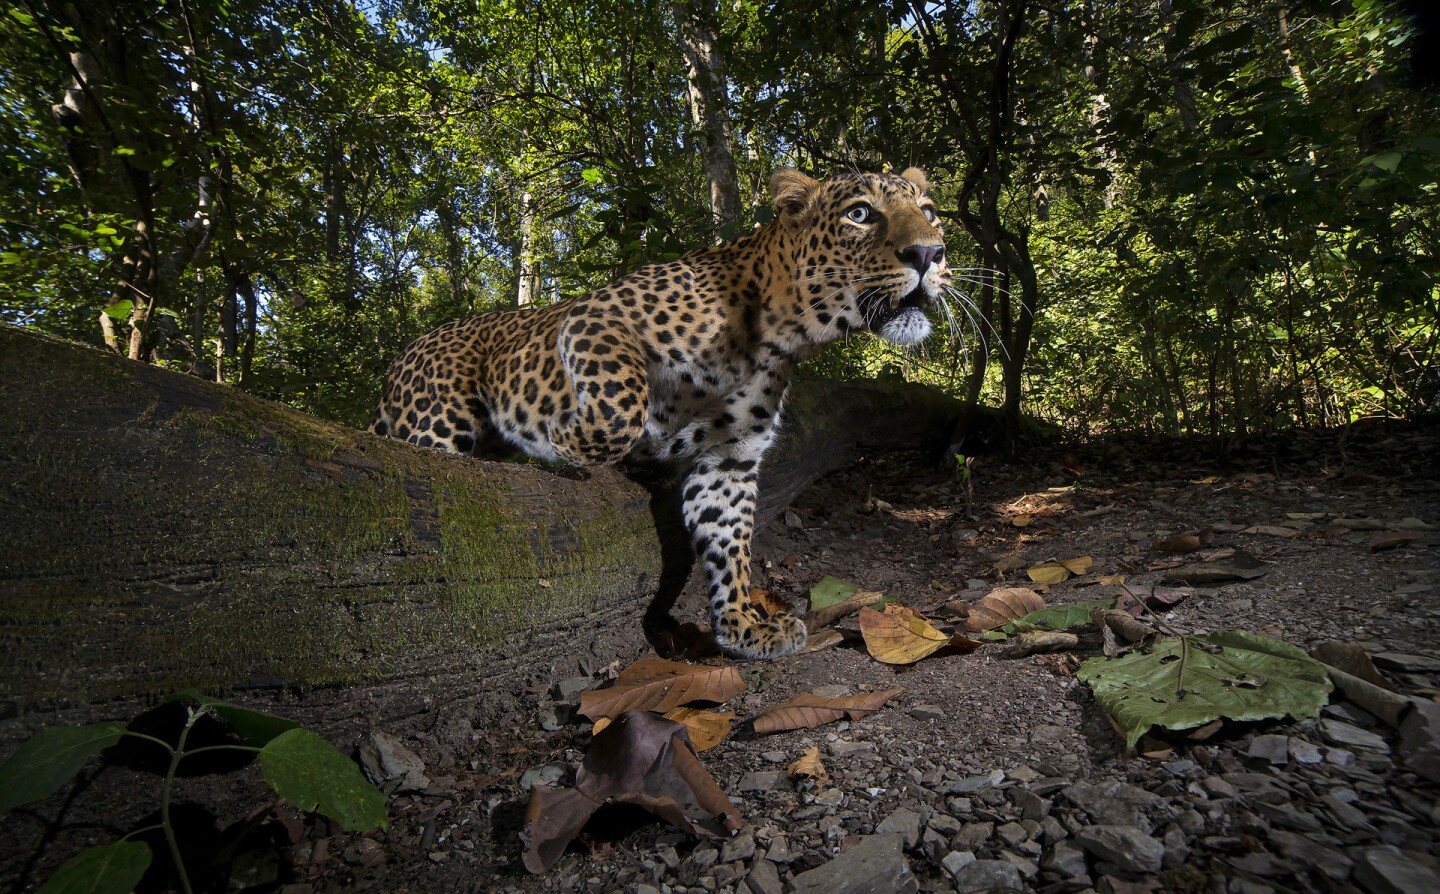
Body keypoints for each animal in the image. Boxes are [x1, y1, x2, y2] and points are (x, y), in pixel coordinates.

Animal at [371, 165, 950, 656]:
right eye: (860, 213)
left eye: (930, 210)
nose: (930, 253)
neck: (784, 334)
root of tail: (402, 356)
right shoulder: (594, 316)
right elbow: (621, 402)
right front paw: (563, 443)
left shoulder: (728, 461)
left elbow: (730, 541)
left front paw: (742, 625)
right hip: (436, 422)